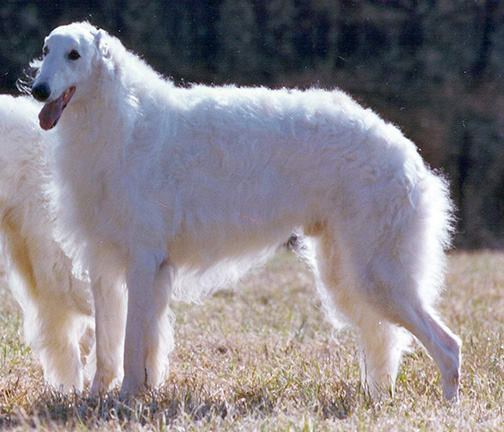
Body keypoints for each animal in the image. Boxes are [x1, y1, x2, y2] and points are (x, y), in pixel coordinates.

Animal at [28, 22, 460, 402]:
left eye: (74, 54)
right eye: (46, 49)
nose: (38, 90)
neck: (123, 121)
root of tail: (409, 154)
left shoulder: (143, 260)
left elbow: (134, 345)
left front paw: (126, 399)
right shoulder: (107, 264)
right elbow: (111, 349)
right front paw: (99, 399)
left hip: (377, 274)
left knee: (449, 345)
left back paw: (449, 405)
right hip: (347, 271)